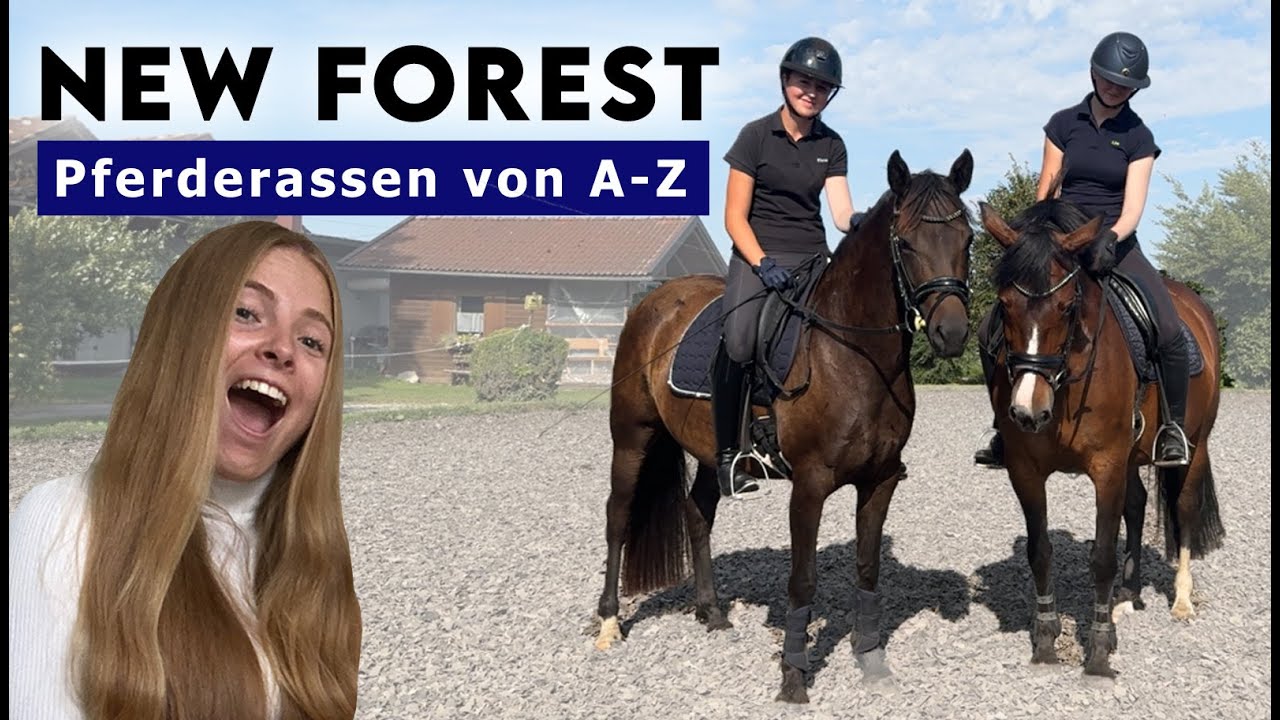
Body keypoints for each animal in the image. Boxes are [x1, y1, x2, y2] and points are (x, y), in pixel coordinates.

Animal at [594, 149, 976, 703]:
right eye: (905, 242)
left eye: (967, 239)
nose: (952, 333)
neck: (852, 355)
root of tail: (655, 300)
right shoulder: (810, 485)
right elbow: (803, 579)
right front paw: (793, 676)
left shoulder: (880, 480)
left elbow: (868, 569)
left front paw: (871, 660)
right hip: (632, 436)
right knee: (618, 517)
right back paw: (607, 623)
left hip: (709, 453)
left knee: (697, 513)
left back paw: (712, 612)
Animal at [977, 198, 1225, 678]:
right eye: (1004, 304)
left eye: (1066, 307)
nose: (1028, 412)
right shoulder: (1025, 469)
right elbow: (1040, 550)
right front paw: (1046, 639)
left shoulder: (1106, 465)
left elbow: (1102, 557)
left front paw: (1098, 650)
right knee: (1138, 504)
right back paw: (1126, 597)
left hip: (1195, 445)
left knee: (1184, 508)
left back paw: (1182, 600)